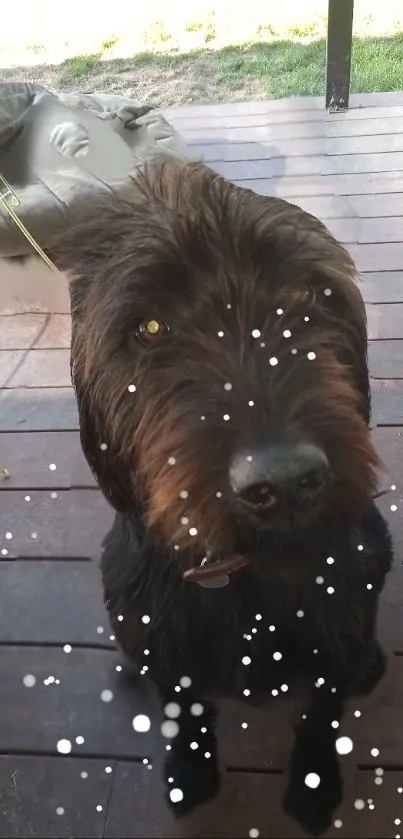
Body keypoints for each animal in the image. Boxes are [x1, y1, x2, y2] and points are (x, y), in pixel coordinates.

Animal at [52, 159, 392, 839]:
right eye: (150, 326)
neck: (252, 573)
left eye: (311, 295)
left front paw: (315, 786)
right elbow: (183, 703)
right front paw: (191, 770)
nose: (284, 482)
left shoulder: (340, 618)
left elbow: (323, 709)